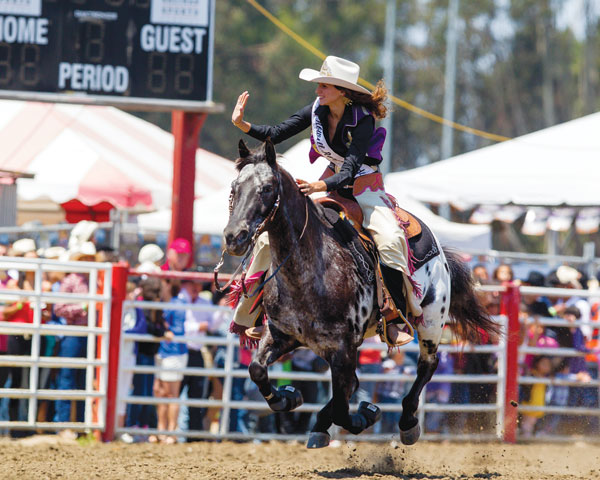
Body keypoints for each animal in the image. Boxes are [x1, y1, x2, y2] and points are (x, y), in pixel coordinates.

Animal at [223, 138, 500, 446]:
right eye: (234, 187)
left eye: (267, 188)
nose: (234, 236)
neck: (308, 272)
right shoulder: (283, 334)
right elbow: (257, 369)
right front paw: (289, 398)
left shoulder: (343, 347)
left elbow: (343, 409)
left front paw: (364, 415)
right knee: (352, 384)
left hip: (431, 321)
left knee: (427, 365)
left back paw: (407, 423)